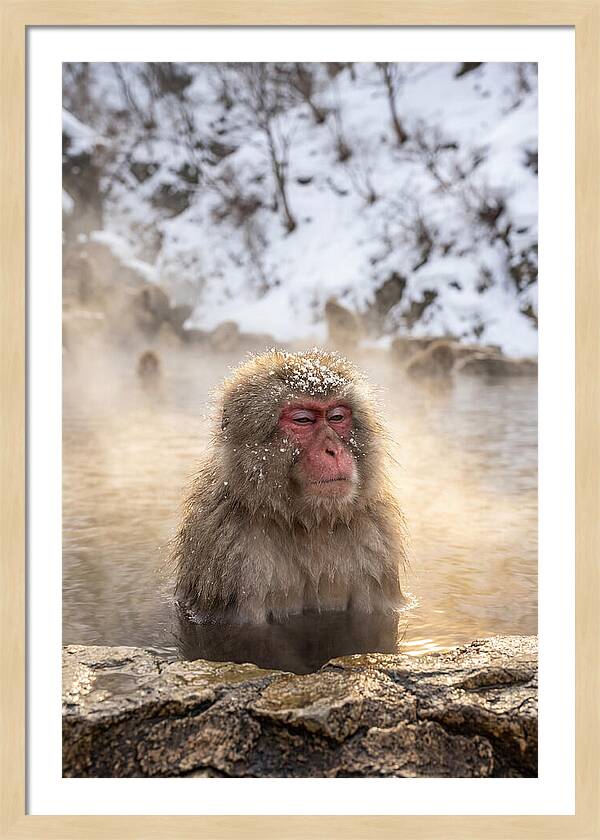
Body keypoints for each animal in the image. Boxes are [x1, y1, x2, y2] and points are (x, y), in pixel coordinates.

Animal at [172, 348, 406, 625]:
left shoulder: (376, 542)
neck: (309, 523)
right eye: (303, 420)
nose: (333, 450)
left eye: (337, 417)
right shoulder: (230, 553)